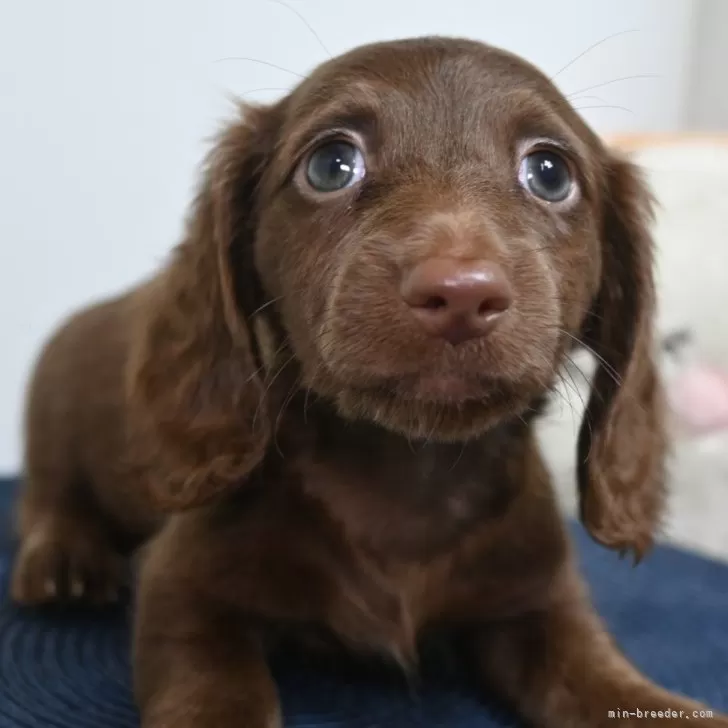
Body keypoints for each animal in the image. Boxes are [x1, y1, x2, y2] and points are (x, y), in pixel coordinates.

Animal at [11, 35, 728, 728]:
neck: (407, 477)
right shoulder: (182, 591)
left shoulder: (541, 603)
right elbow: (215, 694)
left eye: (550, 174)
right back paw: (64, 560)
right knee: (49, 494)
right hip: (53, 407)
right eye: (332, 164)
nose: (459, 293)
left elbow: (610, 683)